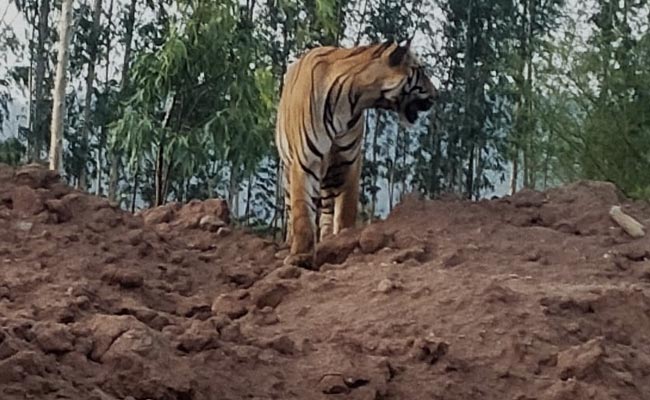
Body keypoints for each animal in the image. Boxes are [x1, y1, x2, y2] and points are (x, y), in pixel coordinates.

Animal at [275, 39, 437, 270]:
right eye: (421, 71)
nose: (437, 95)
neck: (352, 100)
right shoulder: (306, 161)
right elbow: (302, 214)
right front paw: (300, 257)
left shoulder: (349, 161)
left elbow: (345, 210)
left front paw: (342, 240)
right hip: (290, 168)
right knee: (291, 206)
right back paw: (288, 243)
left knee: (327, 208)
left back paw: (327, 238)